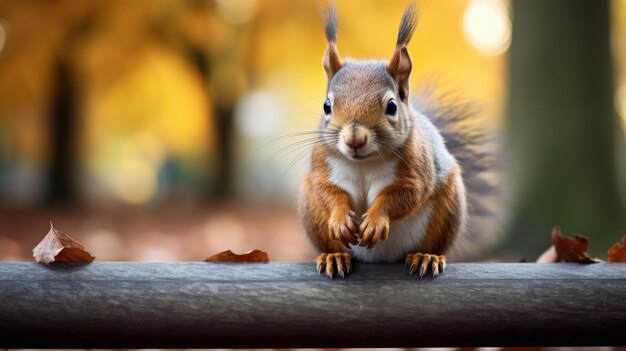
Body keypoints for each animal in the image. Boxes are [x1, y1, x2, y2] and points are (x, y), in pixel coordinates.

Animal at [298, 1, 498, 280]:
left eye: (392, 106)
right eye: (327, 106)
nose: (354, 138)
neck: (364, 163)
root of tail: (381, 259)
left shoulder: (417, 167)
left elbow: (405, 195)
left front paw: (375, 220)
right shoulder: (321, 165)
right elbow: (327, 191)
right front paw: (339, 218)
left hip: (447, 210)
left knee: (433, 242)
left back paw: (427, 256)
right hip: (312, 213)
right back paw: (333, 256)